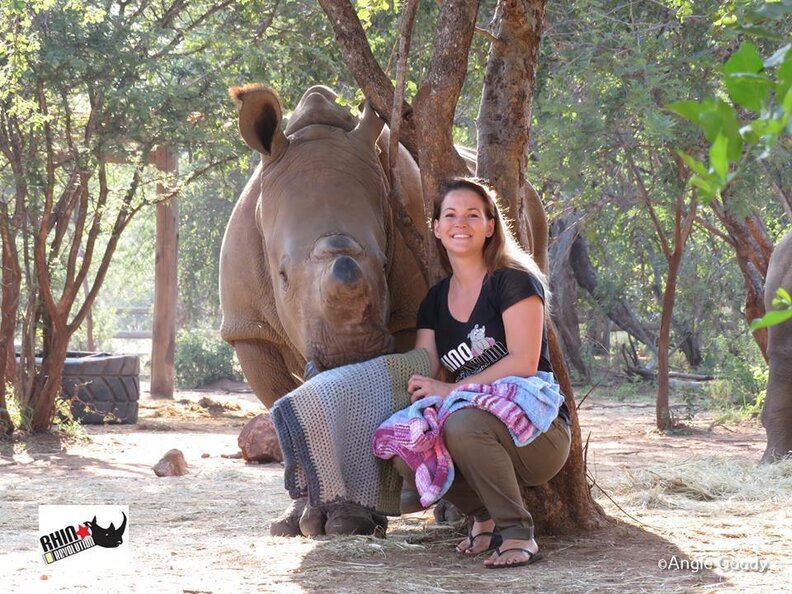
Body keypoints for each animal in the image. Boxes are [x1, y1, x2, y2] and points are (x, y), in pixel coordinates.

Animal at [219, 84, 428, 535]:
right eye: (281, 275)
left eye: (384, 264)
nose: (352, 354)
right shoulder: (248, 328)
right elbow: (281, 408)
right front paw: (297, 523)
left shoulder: (408, 312)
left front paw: (350, 523)